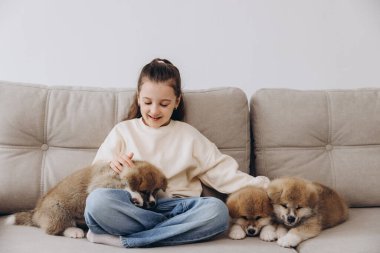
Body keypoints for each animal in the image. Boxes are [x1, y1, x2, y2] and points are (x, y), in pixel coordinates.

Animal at [5, 161, 166, 238]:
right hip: (58, 211)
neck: (118, 173)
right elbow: (122, 187)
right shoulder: (100, 182)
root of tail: (36, 214)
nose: (153, 203)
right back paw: (73, 231)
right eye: (144, 191)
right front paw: (135, 196)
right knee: (55, 229)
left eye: (156, 191)